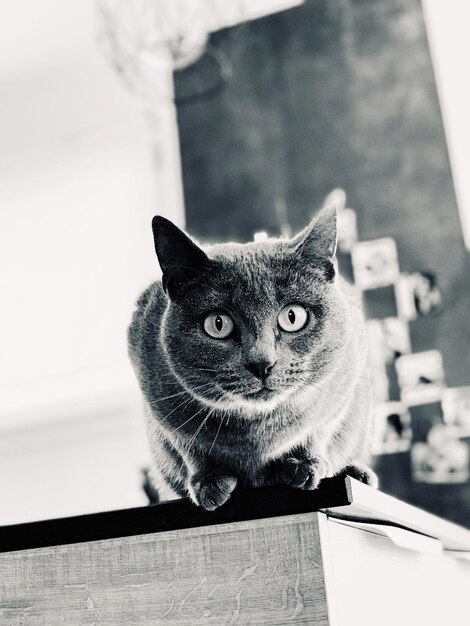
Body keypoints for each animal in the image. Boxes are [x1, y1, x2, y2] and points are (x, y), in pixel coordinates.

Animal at [129, 207, 378, 510]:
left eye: (293, 316)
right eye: (218, 323)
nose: (262, 363)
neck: (259, 429)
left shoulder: (344, 378)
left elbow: (319, 427)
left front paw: (305, 464)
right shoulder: (160, 405)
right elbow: (189, 446)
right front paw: (208, 482)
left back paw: (358, 472)